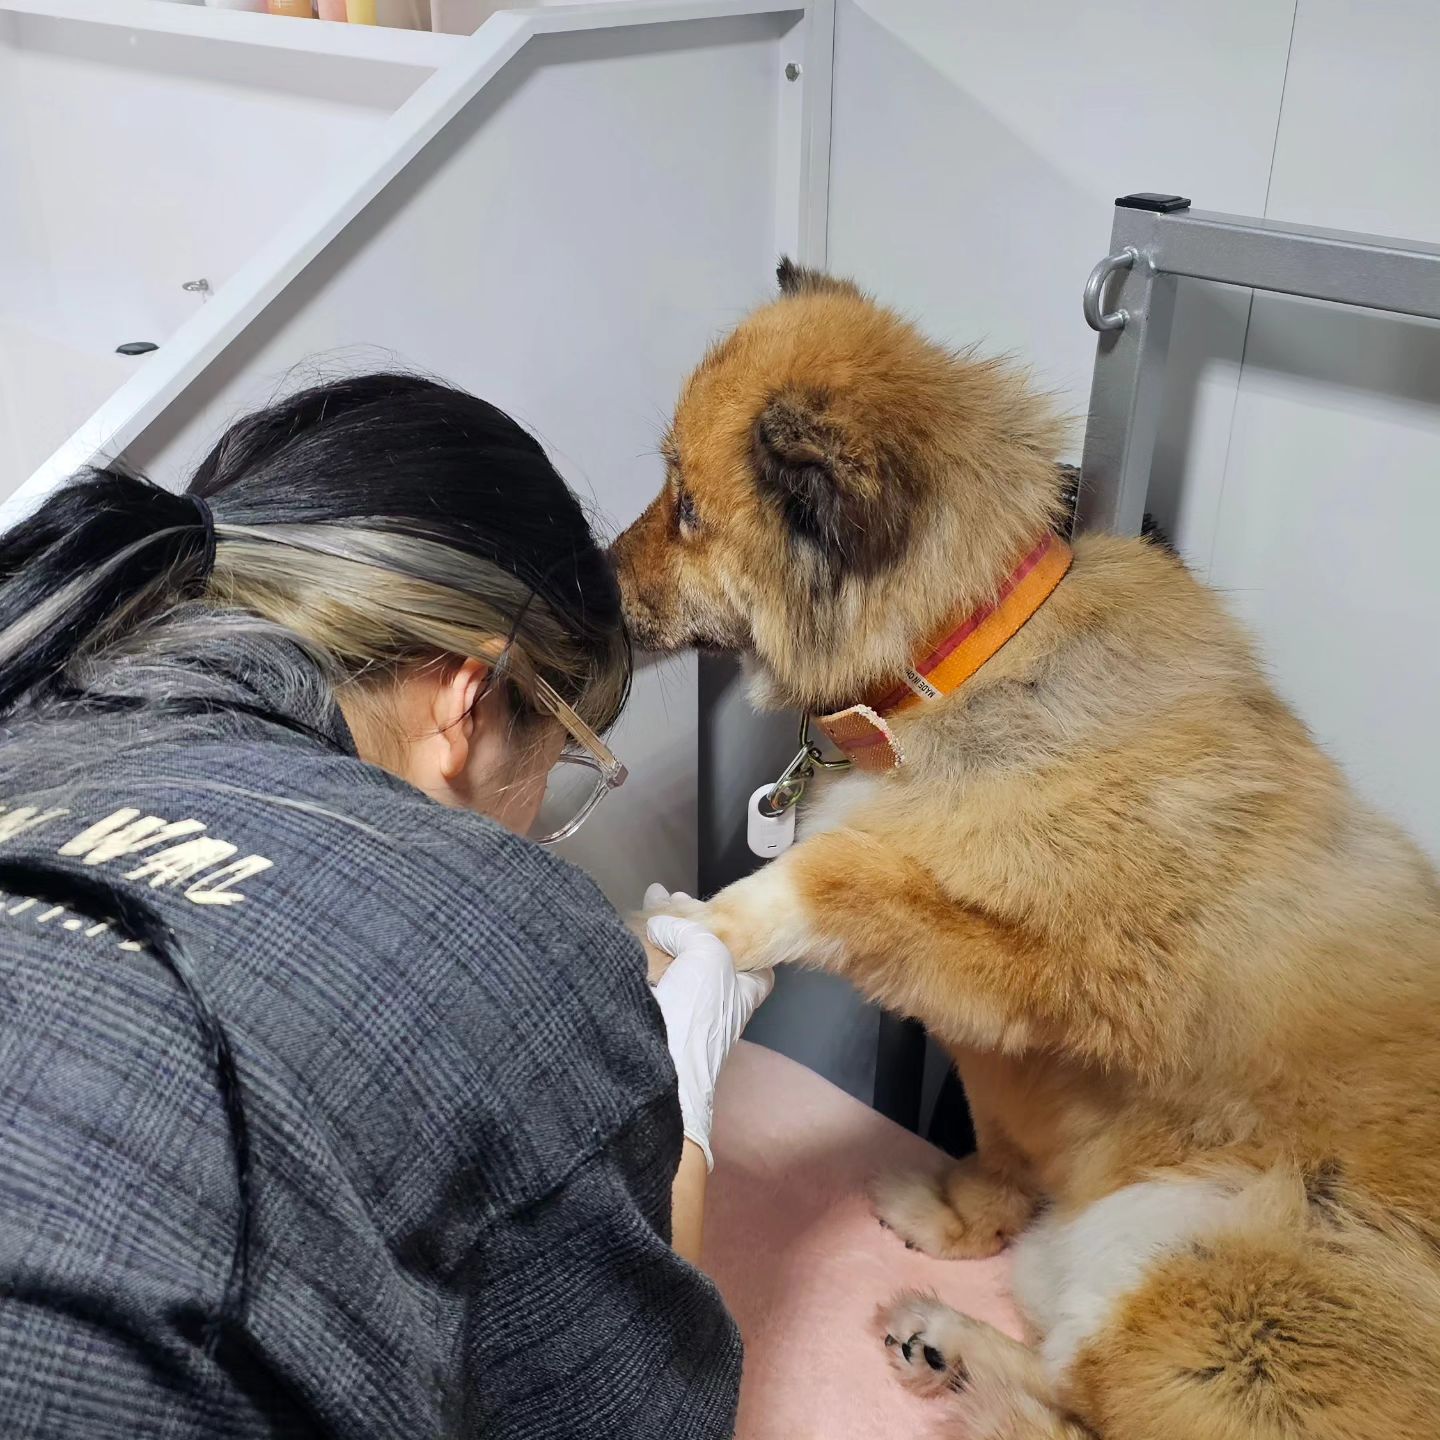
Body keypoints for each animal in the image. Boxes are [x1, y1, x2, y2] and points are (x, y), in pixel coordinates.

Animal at [610, 260, 1440, 1439]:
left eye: (686, 510)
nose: (587, 577)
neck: (956, 665)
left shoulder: (1067, 972)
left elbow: (835, 877)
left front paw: (700, 925)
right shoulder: (1004, 1060)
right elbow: (996, 1162)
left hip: (1216, 1283)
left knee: (1092, 1411)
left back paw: (956, 1351)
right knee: (1060, 1357)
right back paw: (941, 1331)